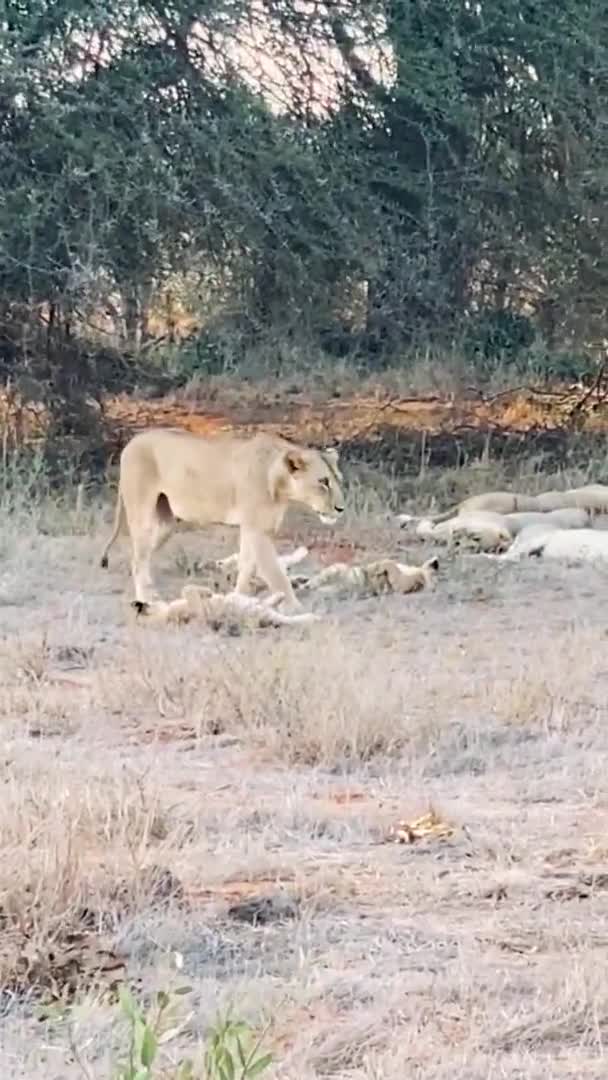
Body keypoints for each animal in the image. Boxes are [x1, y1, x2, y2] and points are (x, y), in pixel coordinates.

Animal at [101, 429, 345, 617]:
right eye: (323, 482)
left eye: (338, 480)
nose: (341, 509)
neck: (279, 484)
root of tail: (131, 442)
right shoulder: (259, 531)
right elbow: (275, 572)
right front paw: (296, 608)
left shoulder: (251, 528)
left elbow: (247, 566)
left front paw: (238, 599)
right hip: (142, 513)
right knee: (138, 559)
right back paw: (147, 599)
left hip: (166, 524)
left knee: (139, 556)